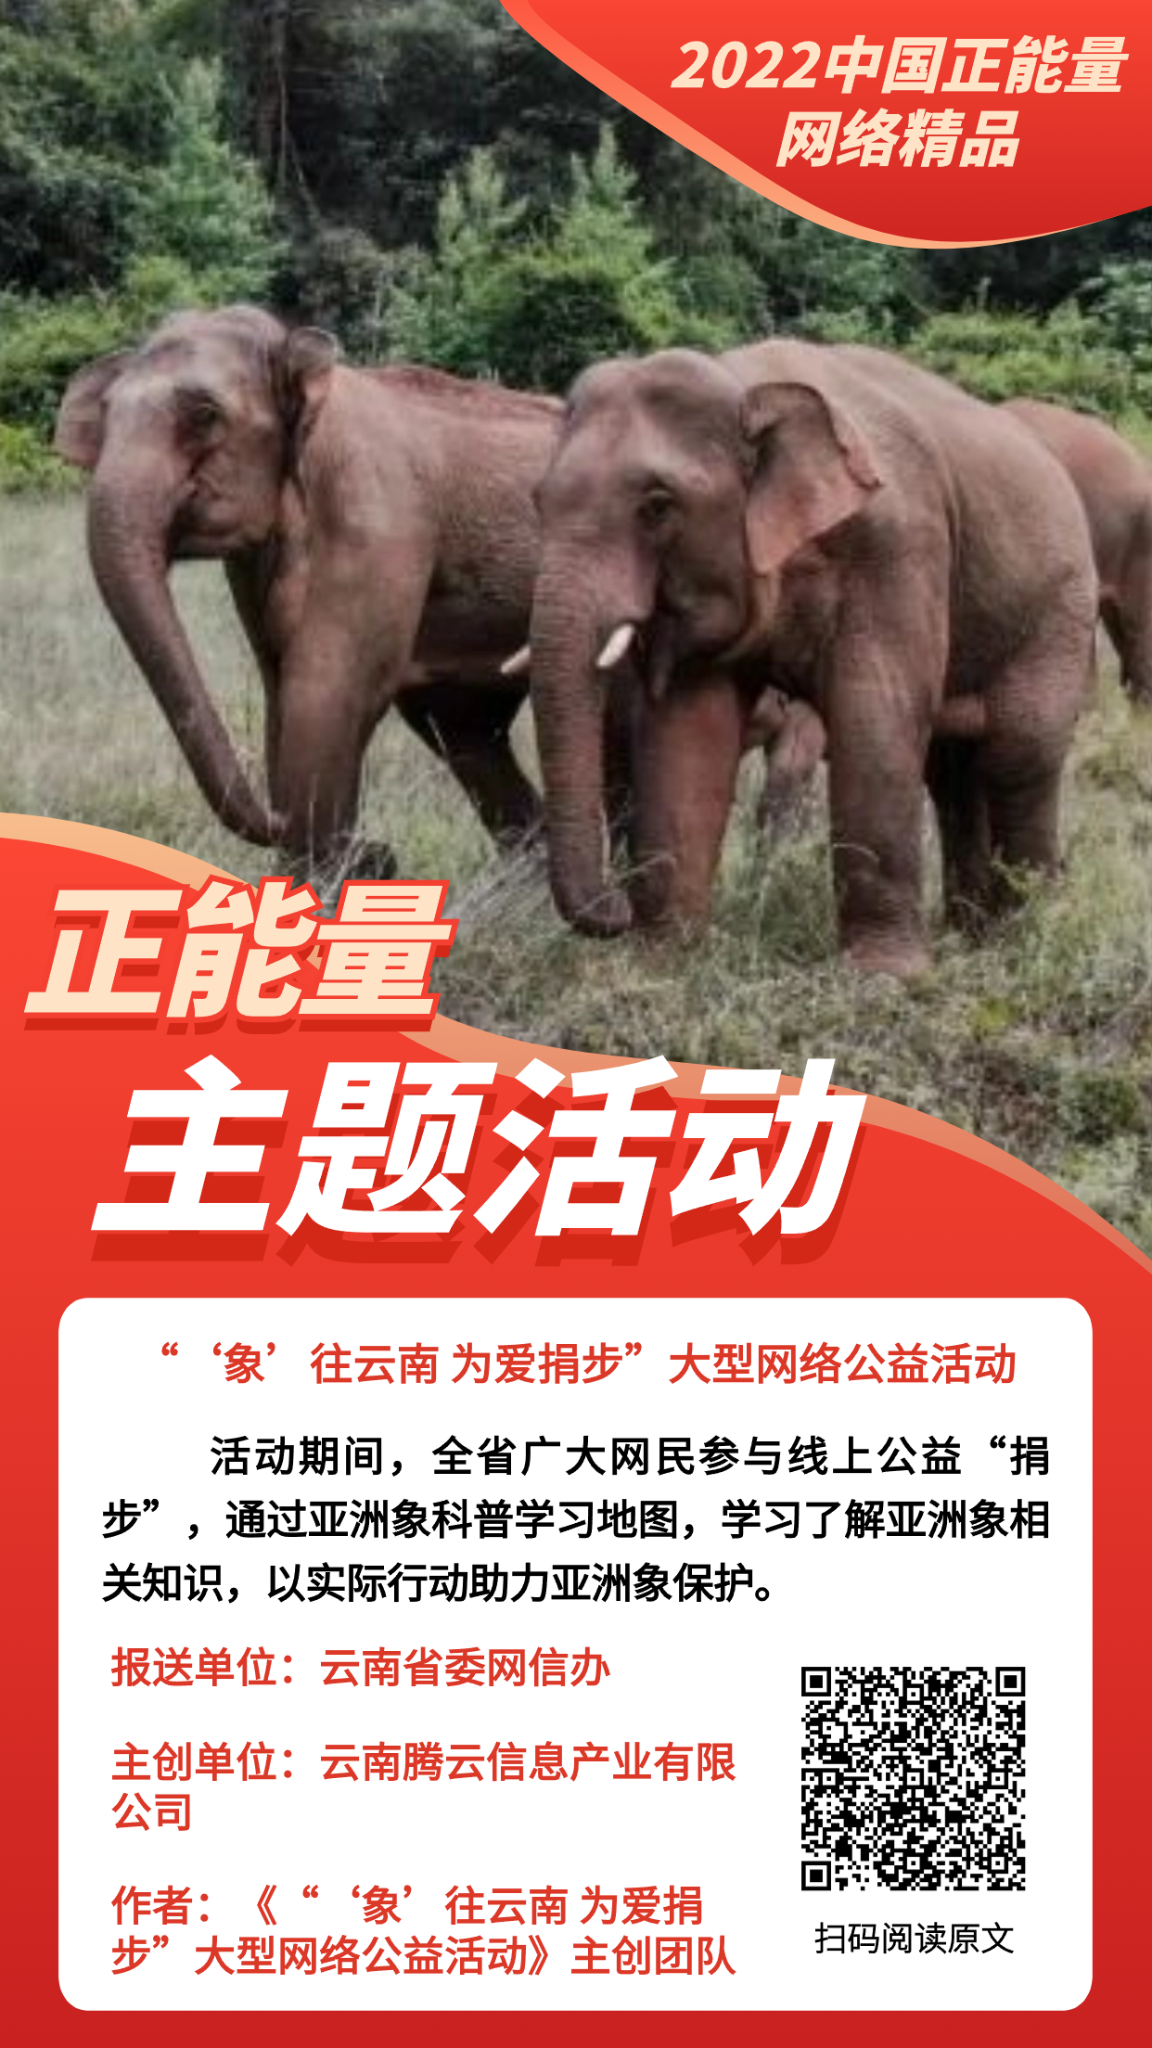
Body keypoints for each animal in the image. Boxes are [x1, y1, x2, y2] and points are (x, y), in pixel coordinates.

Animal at [54, 304, 558, 875]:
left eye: (205, 414)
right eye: (106, 415)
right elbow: (282, 687)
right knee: (465, 724)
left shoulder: (379, 519)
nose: (379, 852)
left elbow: (325, 687)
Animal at [519, 340, 1098, 974]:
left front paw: (885, 977)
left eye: (657, 505)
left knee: (1019, 751)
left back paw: (1022, 937)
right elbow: (690, 733)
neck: (747, 386)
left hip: (1060, 609)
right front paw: (660, 963)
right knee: (953, 769)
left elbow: (877, 716)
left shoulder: (899, 546)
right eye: (538, 501)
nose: (615, 908)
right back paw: (972, 936)